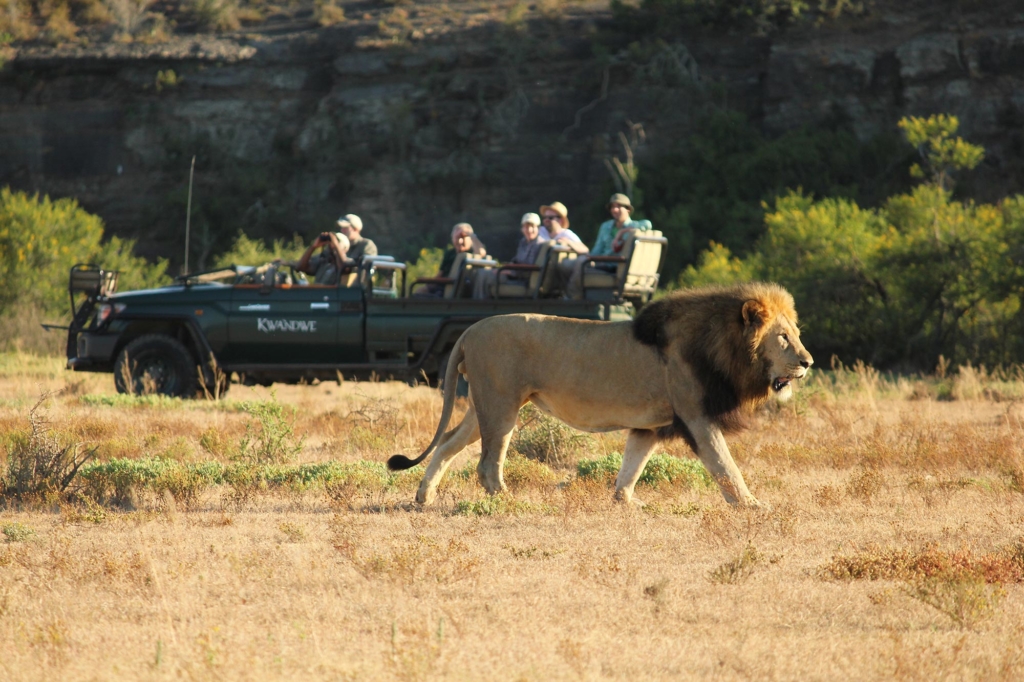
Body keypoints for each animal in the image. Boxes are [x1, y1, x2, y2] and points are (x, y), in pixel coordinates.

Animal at [388, 282, 813, 507]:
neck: (722, 347)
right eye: (782, 337)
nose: (808, 362)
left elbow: (632, 465)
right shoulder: (696, 417)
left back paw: (423, 497)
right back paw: (508, 501)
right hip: (501, 408)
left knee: (446, 443)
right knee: (486, 464)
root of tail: (469, 331)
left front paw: (626, 502)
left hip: (485, 408)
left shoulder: (650, 426)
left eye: (797, 334)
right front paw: (751, 505)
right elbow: (726, 467)